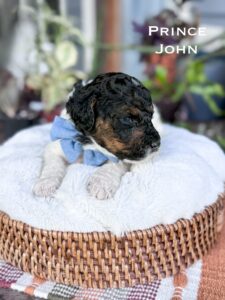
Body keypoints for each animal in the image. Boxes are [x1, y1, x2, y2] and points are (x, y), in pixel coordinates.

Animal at [33, 72, 162, 199]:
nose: (157, 144)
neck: (92, 146)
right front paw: (45, 184)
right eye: (128, 119)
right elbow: (53, 164)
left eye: (151, 116)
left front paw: (101, 184)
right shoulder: (57, 145)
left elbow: (114, 164)